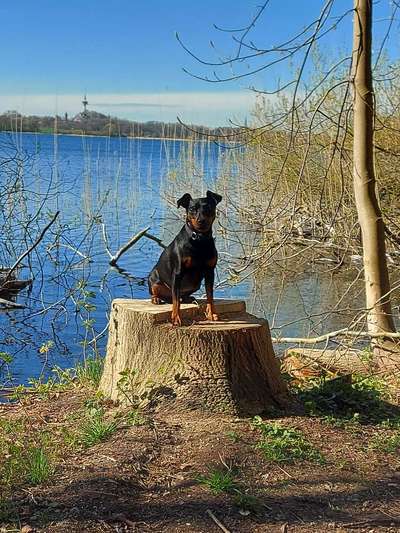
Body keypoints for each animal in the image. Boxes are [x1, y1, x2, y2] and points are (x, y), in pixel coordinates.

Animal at [148, 189, 222, 326]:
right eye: (192, 209)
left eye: (208, 207)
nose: (201, 220)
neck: (199, 239)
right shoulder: (178, 273)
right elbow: (176, 302)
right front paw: (176, 319)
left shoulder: (210, 272)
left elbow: (210, 296)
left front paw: (212, 314)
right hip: (154, 279)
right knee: (164, 294)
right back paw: (156, 299)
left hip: (195, 284)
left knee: (180, 297)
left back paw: (188, 298)